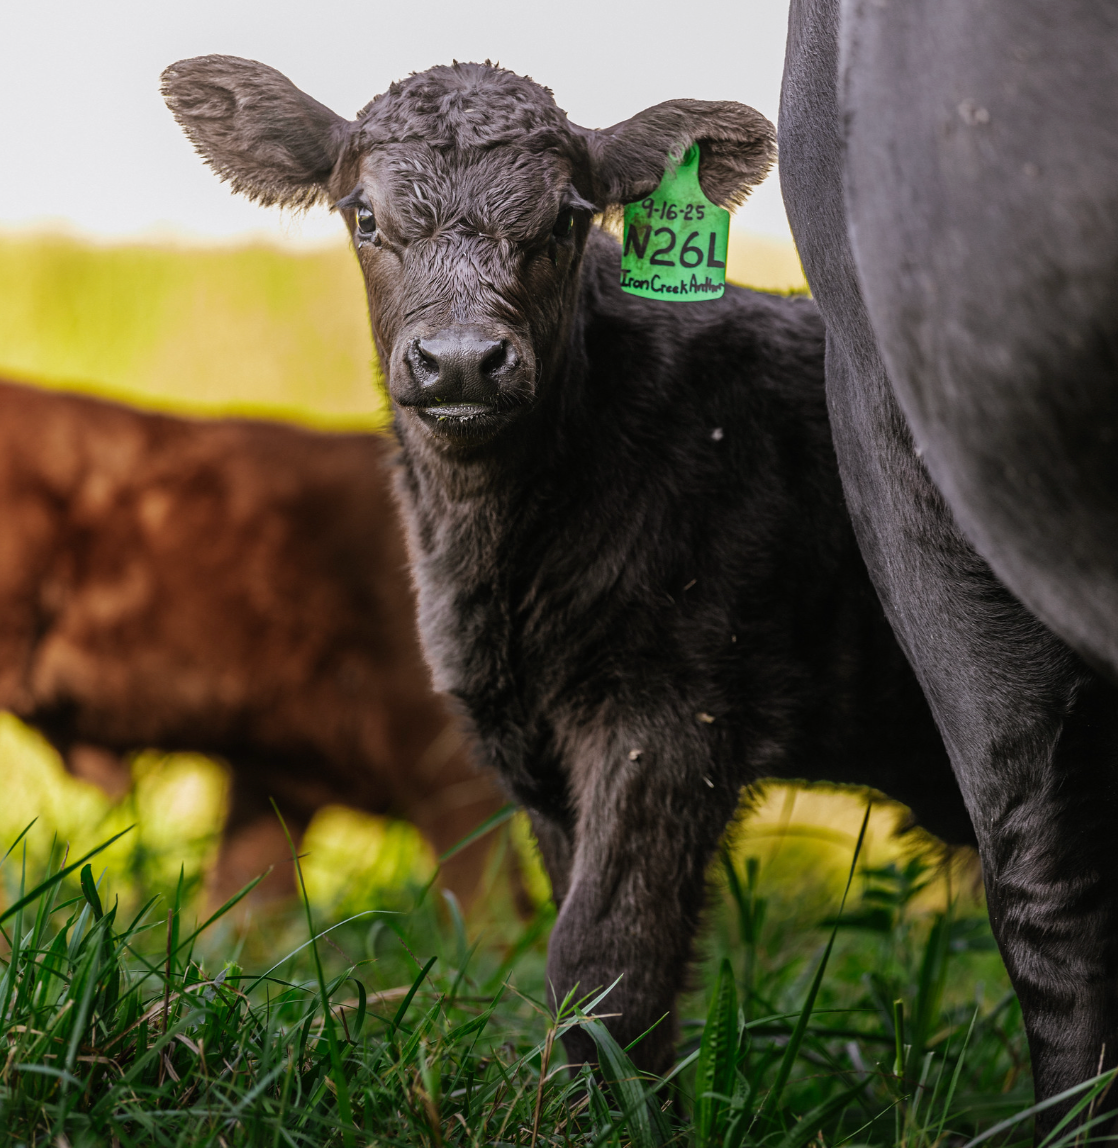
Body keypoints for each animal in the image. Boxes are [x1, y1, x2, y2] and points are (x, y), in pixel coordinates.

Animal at [160, 55, 976, 1075]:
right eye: (366, 218)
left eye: (562, 220)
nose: (460, 363)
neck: (503, 568)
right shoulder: (532, 739)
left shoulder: (669, 713)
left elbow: (606, 965)